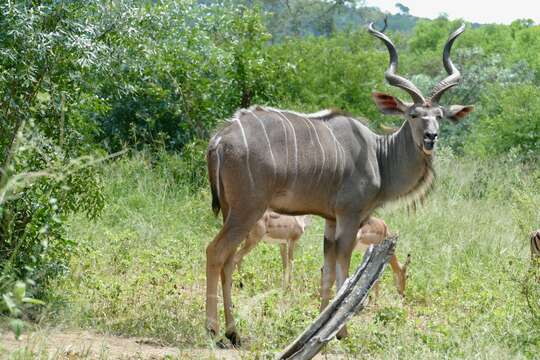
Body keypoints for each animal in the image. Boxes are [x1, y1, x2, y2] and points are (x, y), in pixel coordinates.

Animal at [206, 23, 472, 344]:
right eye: (413, 115)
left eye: (439, 116)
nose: (431, 137)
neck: (379, 155)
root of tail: (220, 139)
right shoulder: (349, 216)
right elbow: (343, 268)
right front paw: (341, 331)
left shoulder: (330, 221)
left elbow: (328, 271)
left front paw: (320, 325)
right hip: (247, 210)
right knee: (216, 253)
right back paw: (215, 329)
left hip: (232, 211)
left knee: (228, 260)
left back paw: (232, 331)